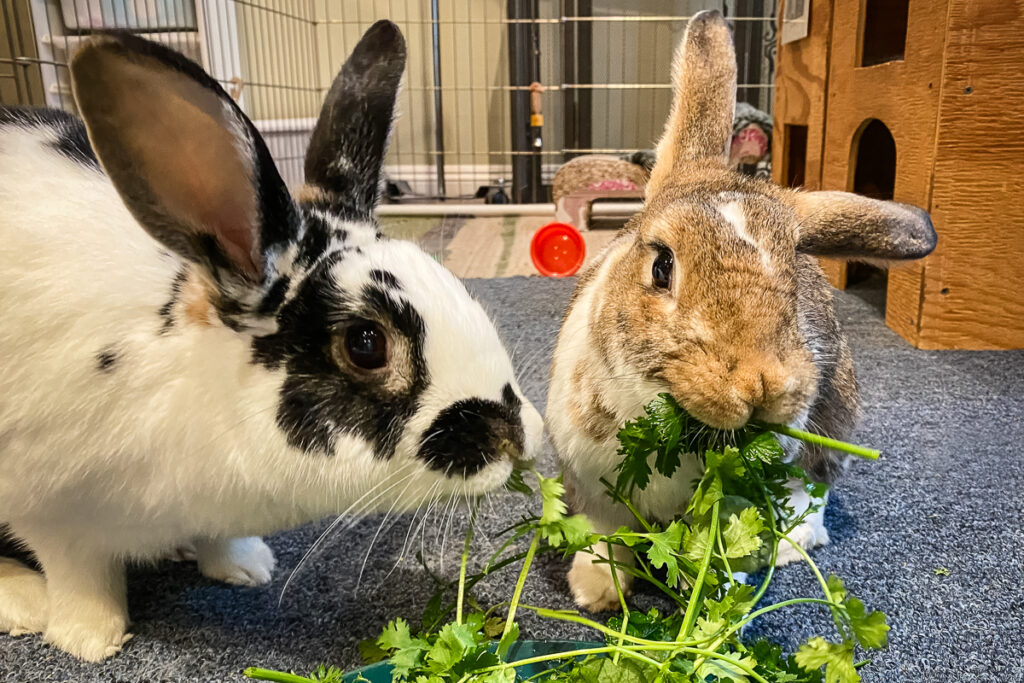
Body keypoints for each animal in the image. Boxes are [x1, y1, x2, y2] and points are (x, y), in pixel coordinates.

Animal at [0, 22, 544, 663]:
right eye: (366, 344)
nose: (520, 438)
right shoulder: (48, 507)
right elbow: (80, 571)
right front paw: (91, 638)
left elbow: (219, 537)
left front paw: (247, 568)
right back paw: (26, 603)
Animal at [548, 7, 933, 610]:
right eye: (662, 266)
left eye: (795, 269)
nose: (762, 385)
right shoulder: (591, 486)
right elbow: (606, 535)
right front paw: (596, 592)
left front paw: (714, 593)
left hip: (836, 414)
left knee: (813, 483)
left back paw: (795, 542)